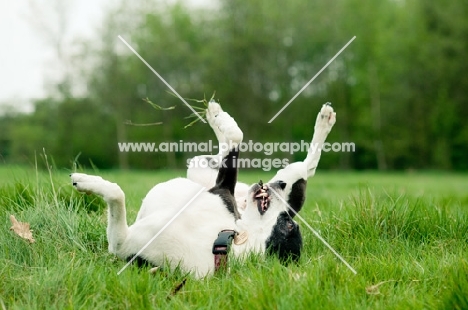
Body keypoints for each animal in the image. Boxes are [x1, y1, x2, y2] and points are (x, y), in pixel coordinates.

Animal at [69, 101, 334, 278]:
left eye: (288, 225)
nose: (278, 185)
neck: (225, 236)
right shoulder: (223, 190)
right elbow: (236, 138)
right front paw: (223, 120)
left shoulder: (122, 243)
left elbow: (117, 195)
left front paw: (85, 182)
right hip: (207, 173)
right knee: (304, 166)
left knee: (307, 167)